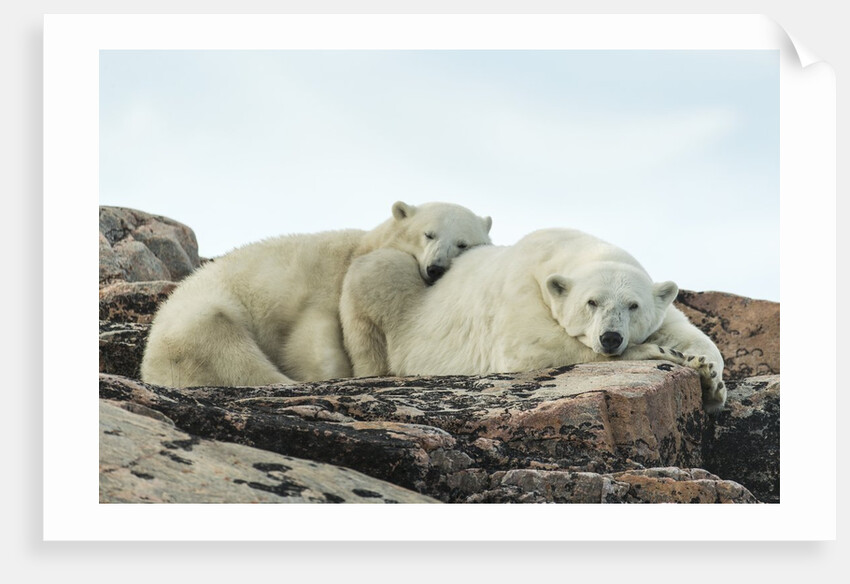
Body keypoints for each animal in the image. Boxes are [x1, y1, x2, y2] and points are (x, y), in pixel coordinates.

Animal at [140, 201, 493, 388]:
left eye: (463, 243)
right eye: (428, 234)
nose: (436, 268)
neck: (360, 248)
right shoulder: (321, 286)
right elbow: (310, 339)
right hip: (200, 318)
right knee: (231, 352)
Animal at [340, 227, 727, 413]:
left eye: (633, 305)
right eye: (591, 302)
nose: (611, 337)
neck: (564, 247)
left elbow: (689, 334)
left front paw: (709, 377)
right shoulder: (524, 288)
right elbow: (530, 348)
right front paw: (663, 353)